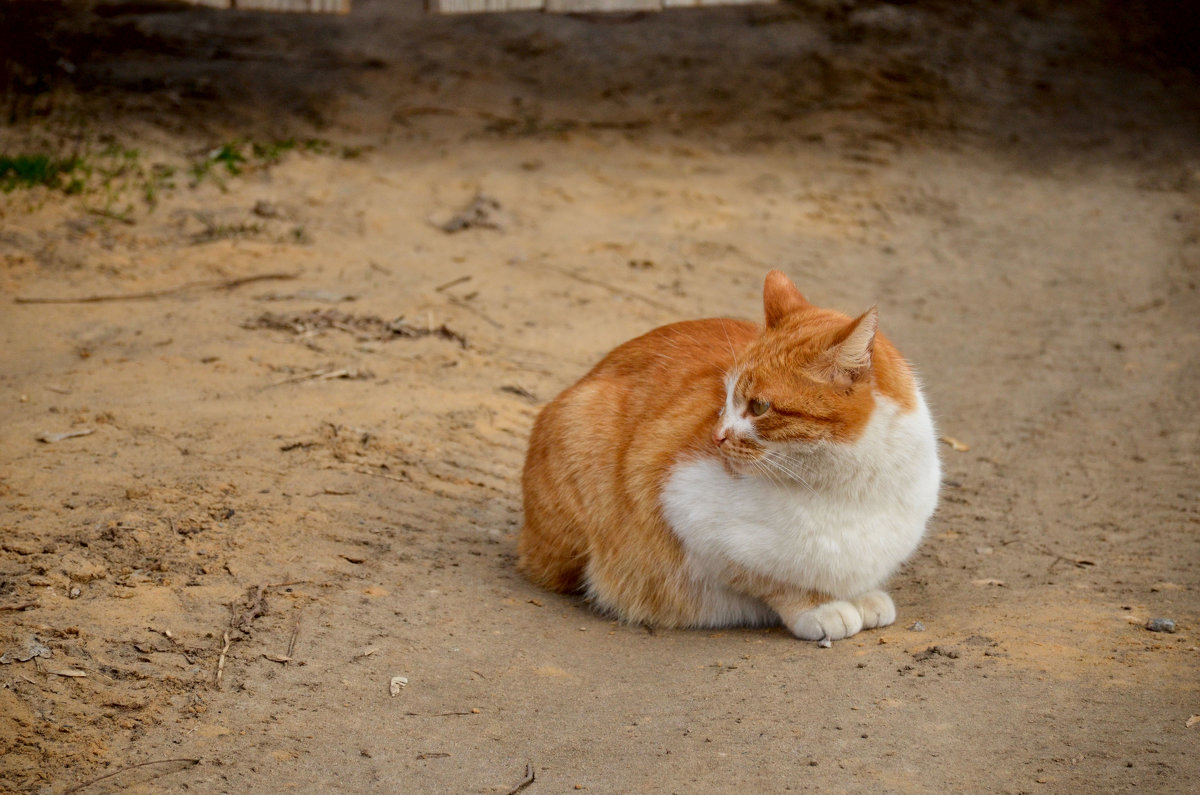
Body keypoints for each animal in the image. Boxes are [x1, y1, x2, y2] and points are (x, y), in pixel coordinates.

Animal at [520, 271, 940, 643]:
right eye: (724, 397)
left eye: (760, 407)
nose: (716, 436)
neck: (852, 487)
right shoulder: (686, 511)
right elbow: (773, 579)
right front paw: (820, 606)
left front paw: (860, 595)